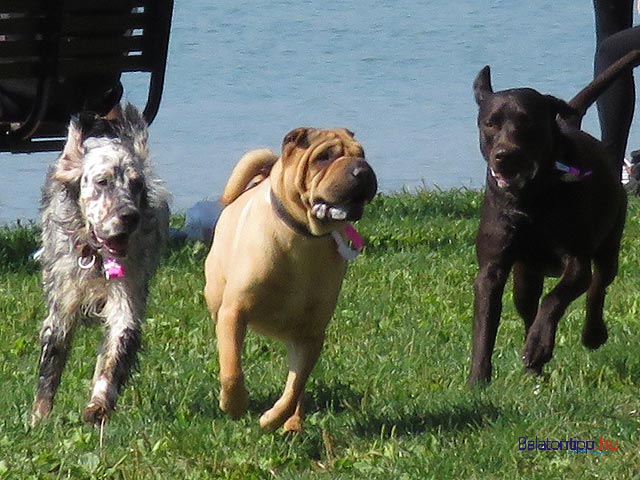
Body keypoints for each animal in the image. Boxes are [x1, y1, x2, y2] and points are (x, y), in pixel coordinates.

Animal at [32, 103, 170, 426]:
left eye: (137, 184)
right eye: (102, 181)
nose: (130, 217)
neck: (95, 255)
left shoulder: (127, 300)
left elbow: (114, 353)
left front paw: (98, 405)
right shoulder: (61, 308)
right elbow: (51, 361)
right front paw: (39, 417)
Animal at [204, 126, 376, 432]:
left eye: (362, 155)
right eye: (324, 157)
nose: (363, 170)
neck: (303, 237)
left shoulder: (311, 333)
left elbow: (295, 386)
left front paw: (273, 419)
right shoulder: (233, 313)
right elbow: (232, 368)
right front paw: (234, 404)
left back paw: (293, 422)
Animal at [464, 50, 640, 384]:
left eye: (527, 122)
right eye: (490, 124)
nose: (504, 155)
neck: (532, 199)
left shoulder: (576, 260)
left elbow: (555, 299)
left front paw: (538, 346)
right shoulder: (492, 267)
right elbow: (485, 324)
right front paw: (477, 380)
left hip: (610, 240)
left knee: (599, 283)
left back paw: (590, 335)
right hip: (525, 275)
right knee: (527, 307)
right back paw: (534, 365)